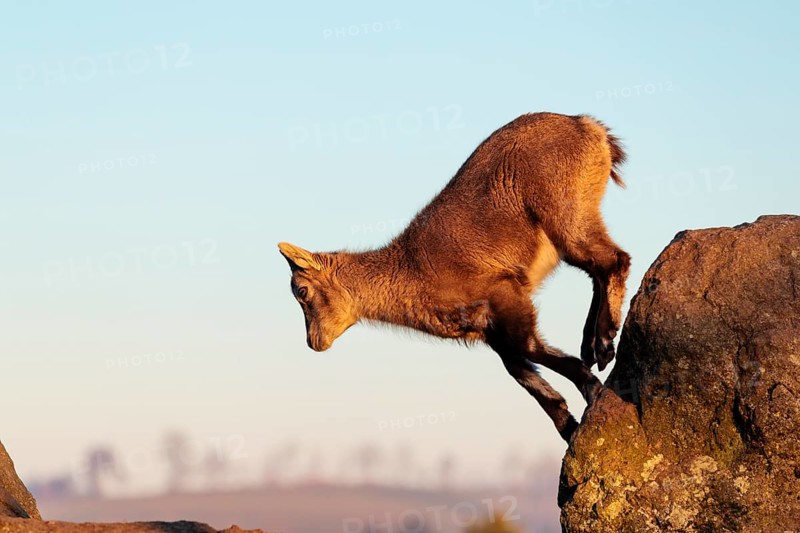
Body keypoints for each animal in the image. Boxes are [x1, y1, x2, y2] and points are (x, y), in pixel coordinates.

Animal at [278, 112, 630, 441]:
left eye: (301, 291)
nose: (314, 342)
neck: (412, 272)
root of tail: (590, 127)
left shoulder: (505, 294)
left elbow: (531, 349)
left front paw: (591, 389)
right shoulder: (490, 332)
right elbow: (524, 375)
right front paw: (568, 426)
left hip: (566, 215)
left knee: (614, 261)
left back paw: (604, 341)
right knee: (597, 270)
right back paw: (593, 345)